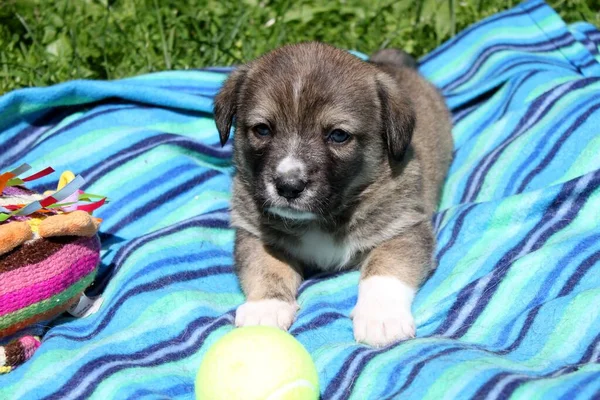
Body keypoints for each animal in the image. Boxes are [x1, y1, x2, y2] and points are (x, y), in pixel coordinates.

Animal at [213, 41, 452, 346]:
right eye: (262, 129)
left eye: (338, 135)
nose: (288, 186)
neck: (322, 218)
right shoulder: (256, 234)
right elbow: (266, 268)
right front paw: (264, 308)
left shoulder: (404, 227)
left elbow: (385, 270)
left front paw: (381, 317)